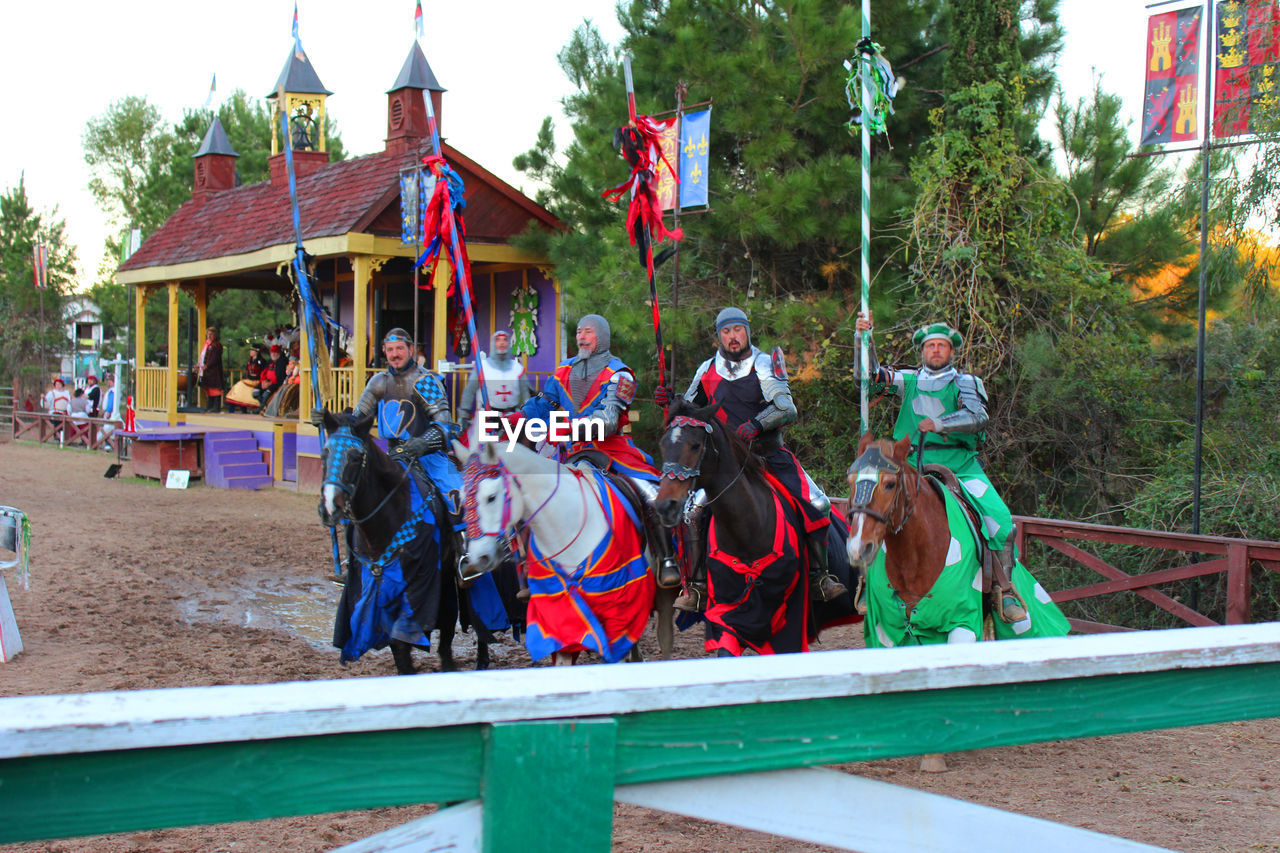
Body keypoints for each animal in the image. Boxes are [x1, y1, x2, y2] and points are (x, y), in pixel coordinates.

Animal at [314, 409, 514, 676]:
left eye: (356, 457)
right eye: (324, 453)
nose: (329, 507)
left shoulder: (420, 583)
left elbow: (404, 637)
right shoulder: (378, 586)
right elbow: (398, 643)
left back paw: (480, 659)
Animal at [453, 427, 675, 660]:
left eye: (491, 497)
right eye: (461, 498)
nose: (477, 558)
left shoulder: (616, 605)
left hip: (663, 593)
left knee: (665, 636)